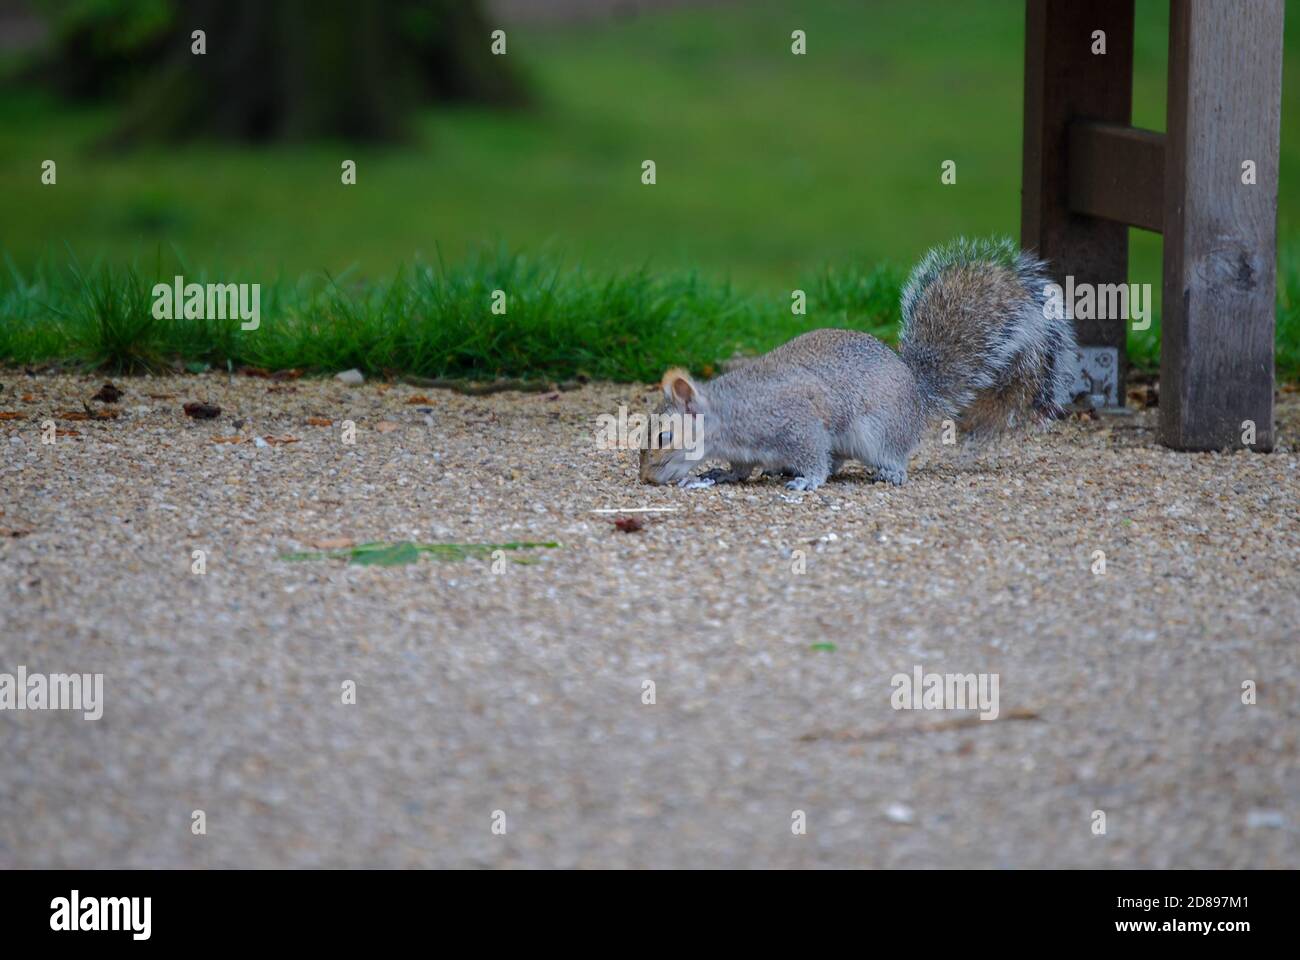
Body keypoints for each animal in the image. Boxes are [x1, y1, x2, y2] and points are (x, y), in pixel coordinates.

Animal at [639, 236, 1076, 489]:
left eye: (664, 437)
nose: (646, 477)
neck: (727, 417)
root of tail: (916, 393)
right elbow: (739, 469)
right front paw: (716, 475)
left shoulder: (794, 423)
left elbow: (812, 454)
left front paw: (807, 482)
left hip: (877, 431)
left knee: (886, 456)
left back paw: (888, 472)